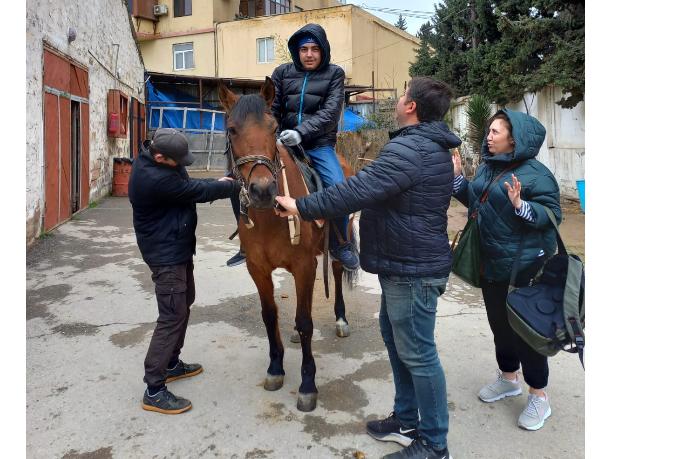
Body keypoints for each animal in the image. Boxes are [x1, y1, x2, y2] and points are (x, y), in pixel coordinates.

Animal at [219, 77, 356, 412]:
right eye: (232, 129)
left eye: (273, 128)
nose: (263, 190)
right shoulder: (258, 268)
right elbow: (270, 316)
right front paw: (275, 368)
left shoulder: (305, 265)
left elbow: (306, 321)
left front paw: (307, 385)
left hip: (334, 249)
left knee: (336, 272)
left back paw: (341, 319)